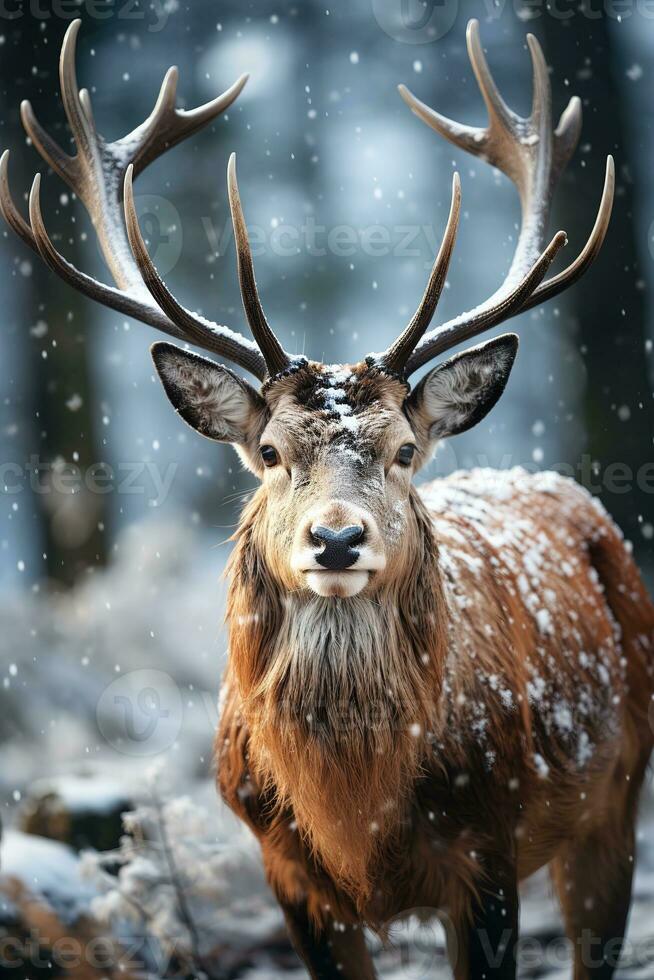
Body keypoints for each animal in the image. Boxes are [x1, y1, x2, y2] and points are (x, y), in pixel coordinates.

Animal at [2, 17, 652, 980]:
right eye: (270, 452)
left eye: (405, 450)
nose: (337, 540)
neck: (355, 818)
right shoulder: (284, 869)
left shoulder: (488, 849)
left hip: (619, 788)